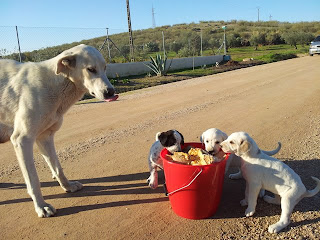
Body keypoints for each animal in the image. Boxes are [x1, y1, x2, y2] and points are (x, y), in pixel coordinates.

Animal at [0, 43, 116, 218]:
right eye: (91, 69)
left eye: (105, 67)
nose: (111, 92)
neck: (55, 84)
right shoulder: (22, 140)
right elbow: (33, 180)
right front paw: (41, 207)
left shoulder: (45, 137)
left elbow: (57, 167)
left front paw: (68, 186)